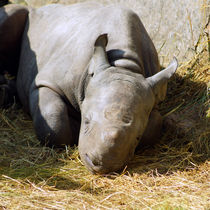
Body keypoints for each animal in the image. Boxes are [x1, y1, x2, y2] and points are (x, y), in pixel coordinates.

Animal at [0, 2, 178, 174]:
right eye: (86, 121)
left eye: (137, 137)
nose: (102, 164)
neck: (123, 65)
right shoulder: (46, 82)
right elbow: (54, 121)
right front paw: (73, 130)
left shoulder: (153, 95)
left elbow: (155, 124)